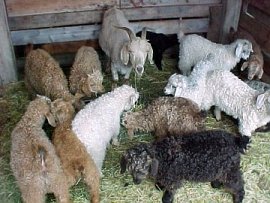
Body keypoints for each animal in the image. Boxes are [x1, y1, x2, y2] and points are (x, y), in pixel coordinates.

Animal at [121, 130, 249, 203]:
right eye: (130, 168)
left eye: (143, 167)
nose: (136, 181)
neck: (162, 156)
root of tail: (236, 141)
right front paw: (159, 186)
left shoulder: (173, 176)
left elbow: (171, 189)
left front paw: (166, 199)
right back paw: (216, 184)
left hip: (230, 169)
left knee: (237, 184)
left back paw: (238, 198)